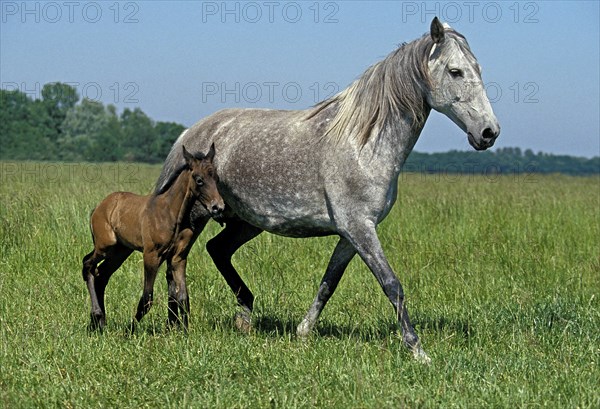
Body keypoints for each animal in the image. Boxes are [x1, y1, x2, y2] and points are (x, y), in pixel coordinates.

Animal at [154, 18, 496, 360]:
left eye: (478, 68)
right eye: (455, 71)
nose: (489, 132)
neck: (365, 143)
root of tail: (190, 133)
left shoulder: (351, 234)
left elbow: (329, 282)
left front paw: (303, 332)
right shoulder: (359, 228)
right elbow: (392, 285)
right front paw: (417, 350)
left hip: (245, 222)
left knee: (217, 250)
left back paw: (243, 318)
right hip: (197, 216)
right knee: (175, 261)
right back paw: (177, 324)